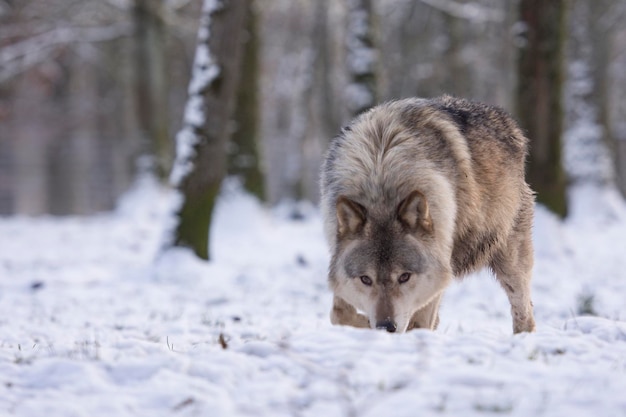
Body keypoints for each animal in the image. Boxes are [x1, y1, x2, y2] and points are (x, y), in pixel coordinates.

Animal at [320, 96, 532, 334]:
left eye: (404, 277)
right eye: (366, 279)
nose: (386, 326)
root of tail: (508, 120)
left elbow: (418, 322)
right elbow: (339, 314)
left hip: (509, 264)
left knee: (525, 312)